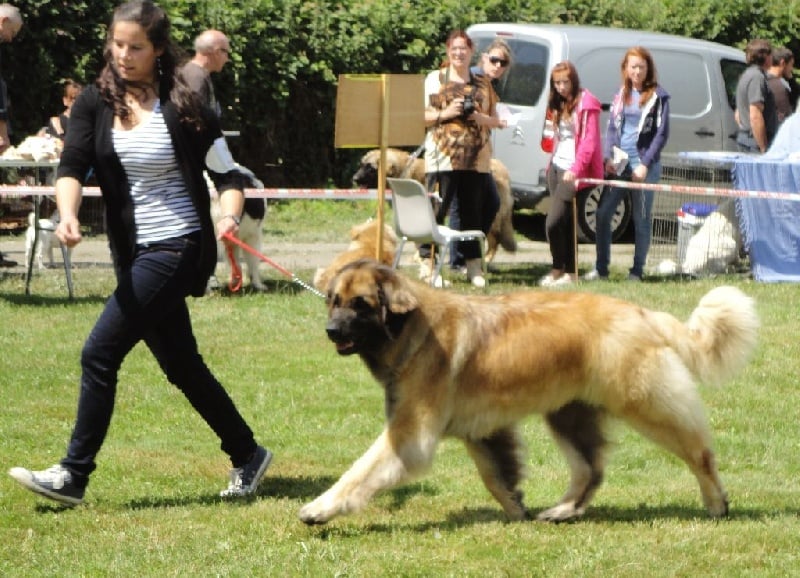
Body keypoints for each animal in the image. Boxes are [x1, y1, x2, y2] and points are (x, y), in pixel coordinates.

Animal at [298, 258, 756, 524]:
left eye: (360, 304)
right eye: (333, 300)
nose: (331, 330)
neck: (411, 329)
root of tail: (643, 313)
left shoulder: (409, 433)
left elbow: (359, 471)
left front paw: (320, 508)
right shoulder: (481, 429)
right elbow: (495, 473)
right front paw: (516, 505)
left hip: (646, 405)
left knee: (700, 453)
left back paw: (717, 503)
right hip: (569, 414)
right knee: (590, 469)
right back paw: (562, 510)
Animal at [352, 146, 516, 260]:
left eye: (370, 168)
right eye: (361, 165)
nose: (354, 179)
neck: (402, 171)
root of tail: (503, 169)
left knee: (494, 239)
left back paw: (486, 259)